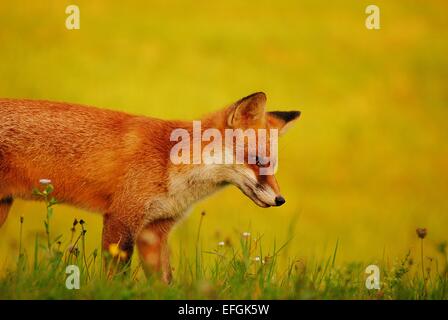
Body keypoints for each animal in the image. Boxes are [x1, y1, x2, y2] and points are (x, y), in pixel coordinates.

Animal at [1, 92, 300, 282]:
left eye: (273, 165)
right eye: (259, 161)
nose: (281, 200)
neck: (173, 164)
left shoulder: (154, 232)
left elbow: (164, 284)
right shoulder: (121, 219)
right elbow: (116, 279)